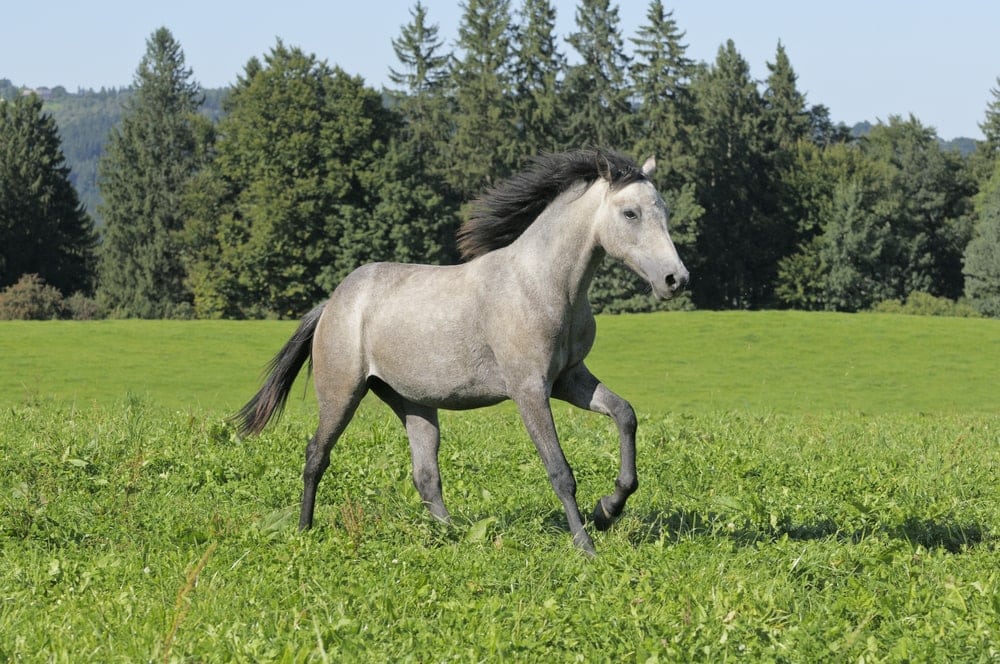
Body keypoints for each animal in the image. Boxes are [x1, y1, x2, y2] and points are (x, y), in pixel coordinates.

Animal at [236, 148, 689, 555]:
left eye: (664, 210)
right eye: (630, 213)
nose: (676, 279)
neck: (543, 285)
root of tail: (331, 304)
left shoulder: (569, 379)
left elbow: (625, 414)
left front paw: (607, 510)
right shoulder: (530, 390)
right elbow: (560, 470)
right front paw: (586, 545)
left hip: (414, 404)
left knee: (425, 475)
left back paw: (451, 538)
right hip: (341, 393)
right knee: (316, 455)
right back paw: (304, 531)